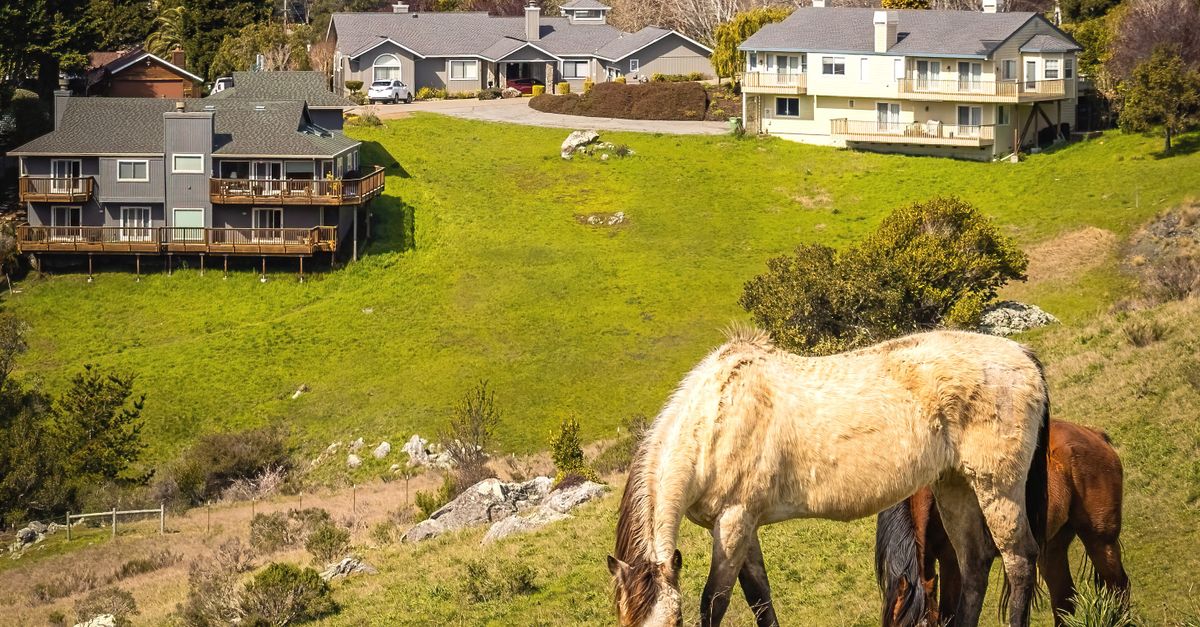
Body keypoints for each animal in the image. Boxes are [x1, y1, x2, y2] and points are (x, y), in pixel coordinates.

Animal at [608, 327, 1050, 627]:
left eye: (675, 622)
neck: (714, 421)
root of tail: (1023, 354)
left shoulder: (733, 522)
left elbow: (714, 603)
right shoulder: (742, 524)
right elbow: (760, 597)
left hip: (998, 486)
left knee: (1019, 560)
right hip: (955, 483)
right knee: (975, 562)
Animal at [875, 420, 1128, 627]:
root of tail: (1093, 434)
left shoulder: (952, 562)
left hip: (1100, 540)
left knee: (1118, 586)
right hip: (1052, 549)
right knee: (1064, 601)